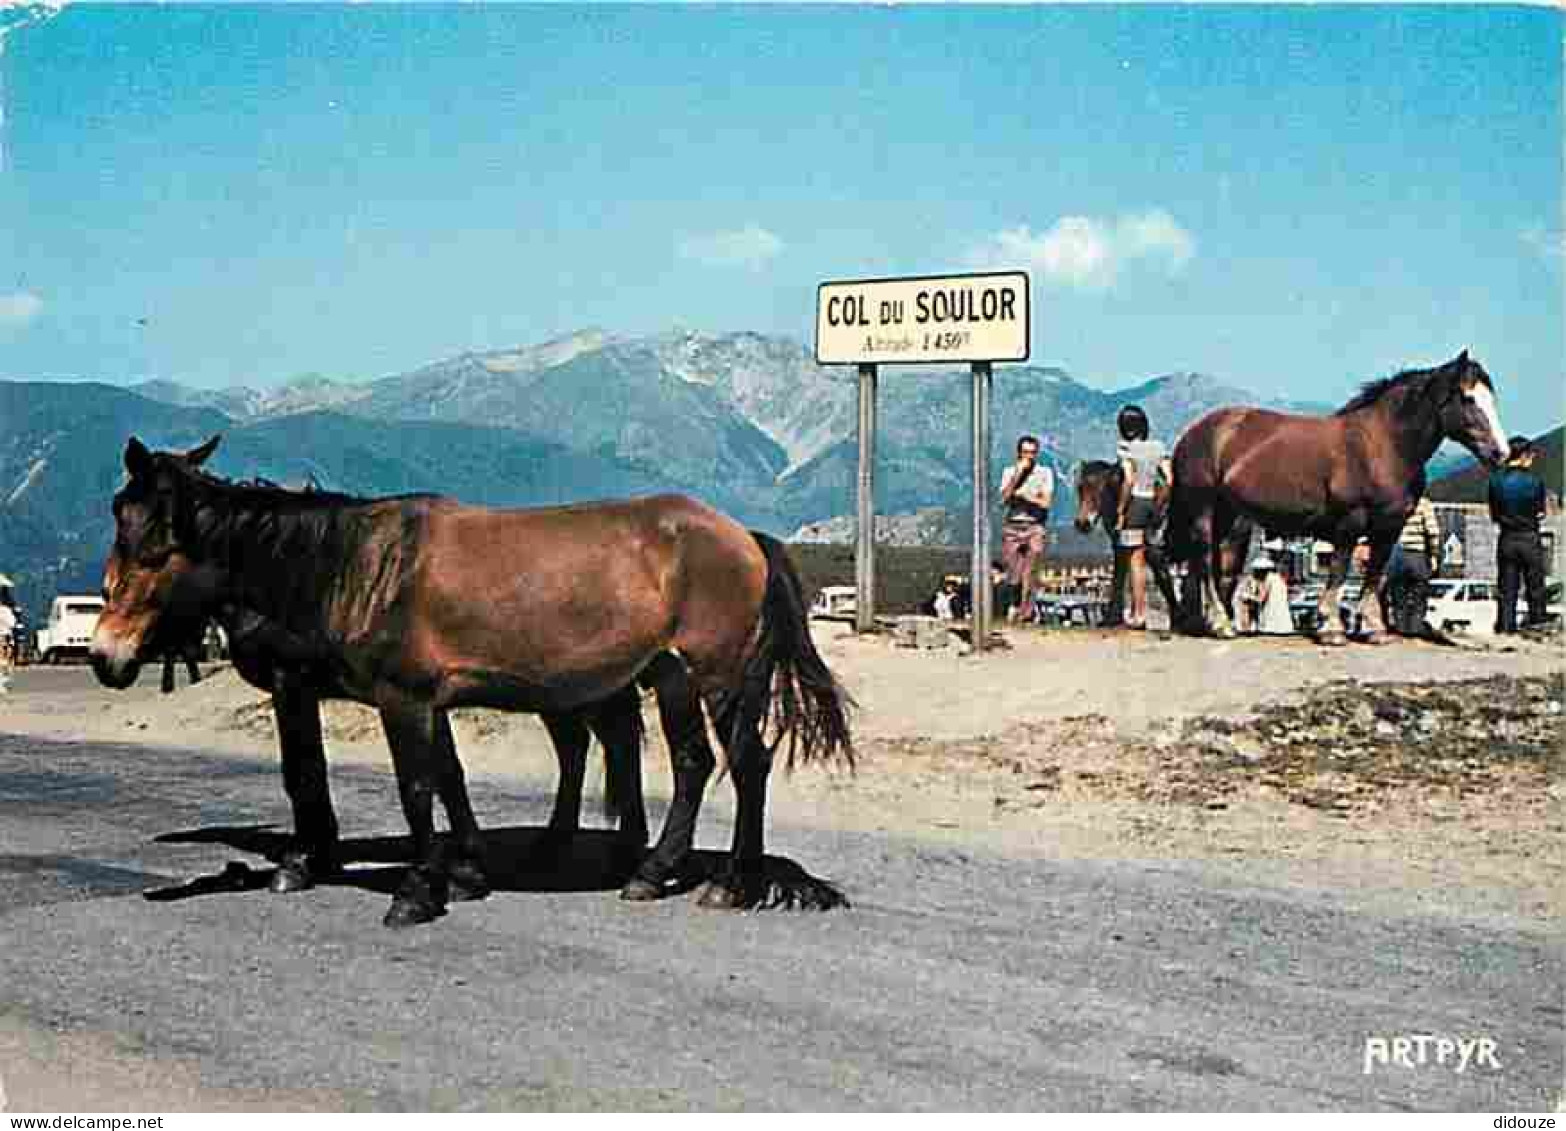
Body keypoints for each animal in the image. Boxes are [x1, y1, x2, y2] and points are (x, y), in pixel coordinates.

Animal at [90, 435, 851, 921]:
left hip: (718, 675)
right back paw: (651, 871)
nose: (105, 654)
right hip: (669, 677)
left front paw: (412, 889)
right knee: (692, 763)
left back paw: (731, 884)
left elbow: (407, 785)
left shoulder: (391, 698)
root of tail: (743, 537)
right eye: (120, 523)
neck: (358, 566)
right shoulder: (429, 702)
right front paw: (460, 873)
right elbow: (445, 779)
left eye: (153, 543)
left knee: (745, 764)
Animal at [1165, 347, 1503, 639]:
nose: (1500, 452)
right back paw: (1220, 624)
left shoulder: (1389, 527)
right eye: (1468, 398)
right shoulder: (1350, 522)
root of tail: (1193, 433)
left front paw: (1373, 628)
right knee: (1203, 559)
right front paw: (1331, 627)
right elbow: (1339, 571)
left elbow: (1374, 573)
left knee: (1205, 563)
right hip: (1204, 509)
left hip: (1226, 513)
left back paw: (1203, 621)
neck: (1383, 445)